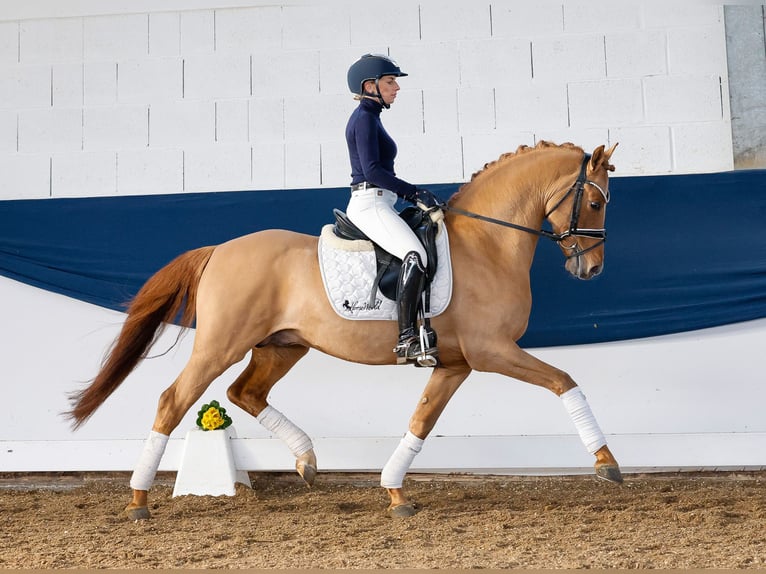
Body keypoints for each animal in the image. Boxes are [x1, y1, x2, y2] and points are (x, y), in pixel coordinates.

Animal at [67, 141, 624, 520]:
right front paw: (606, 463)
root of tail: (219, 250)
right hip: (220, 344)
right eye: (597, 203)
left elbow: (421, 421)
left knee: (245, 392)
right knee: (174, 399)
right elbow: (565, 382)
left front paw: (395, 491)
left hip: (282, 346)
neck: (488, 244)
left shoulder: (455, 364)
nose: (592, 269)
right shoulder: (493, 352)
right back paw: (139, 500)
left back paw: (307, 461)